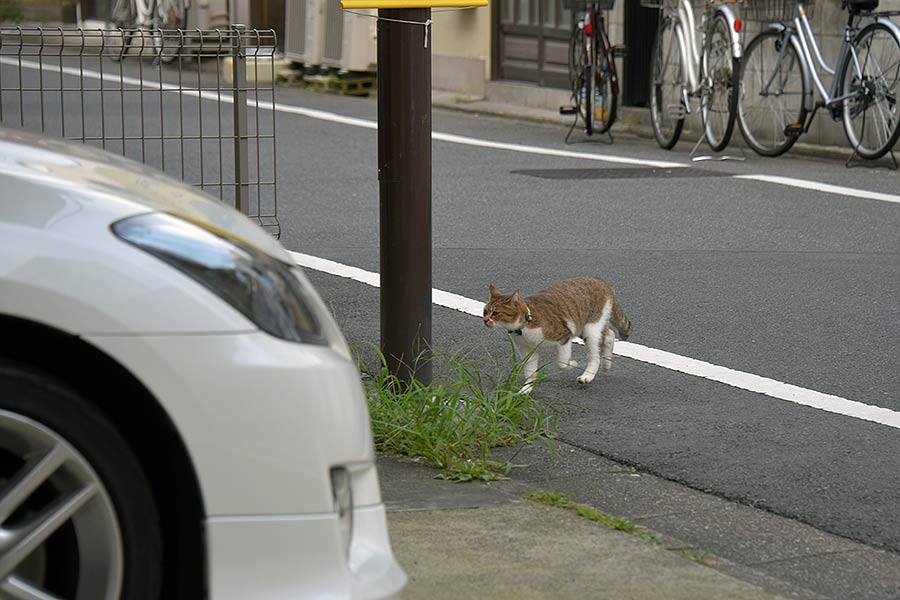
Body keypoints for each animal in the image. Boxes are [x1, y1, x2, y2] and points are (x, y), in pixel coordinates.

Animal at [486, 276, 632, 394]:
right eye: (485, 311)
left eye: (495, 313)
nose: (485, 320)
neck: (525, 326)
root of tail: (601, 280)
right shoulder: (528, 350)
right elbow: (530, 371)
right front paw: (527, 388)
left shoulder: (564, 337)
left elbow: (561, 363)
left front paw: (572, 363)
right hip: (582, 327)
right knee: (609, 334)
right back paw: (607, 364)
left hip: (591, 329)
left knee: (595, 356)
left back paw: (588, 375)